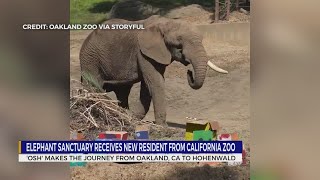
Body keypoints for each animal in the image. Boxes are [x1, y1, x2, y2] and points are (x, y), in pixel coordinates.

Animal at [79, 15, 228, 125]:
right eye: (179, 41)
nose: (189, 72)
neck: (165, 22)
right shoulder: (142, 52)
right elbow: (155, 82)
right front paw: (163, 127)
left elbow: (148, 85)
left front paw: (136, 119)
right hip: (90, 57)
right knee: (94, 85)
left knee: (122, 91)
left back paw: (124, 114)